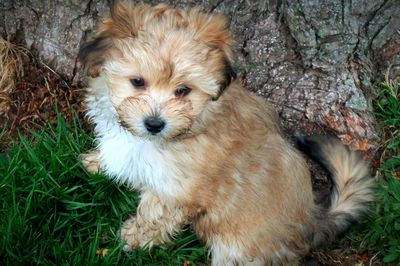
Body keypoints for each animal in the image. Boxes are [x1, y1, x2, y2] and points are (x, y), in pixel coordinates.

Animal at [79, 2, 376, 266]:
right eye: (137, 82)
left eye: (183, 90)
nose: (154, 124)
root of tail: (312, 221)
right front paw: (97, 161)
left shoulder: (176, 190)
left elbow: (154, 215)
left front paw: (135, 237)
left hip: (238, 250)